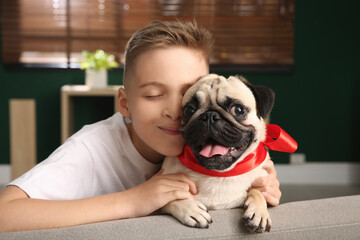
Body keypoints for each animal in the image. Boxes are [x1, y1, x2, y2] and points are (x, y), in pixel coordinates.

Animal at [162, 73, 278, 232]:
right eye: (189, 111)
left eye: (238, 110)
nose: (209, 116)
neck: (219, 175)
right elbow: (170, 197)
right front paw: (190, 209)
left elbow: (257, 192)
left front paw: (259, 212)